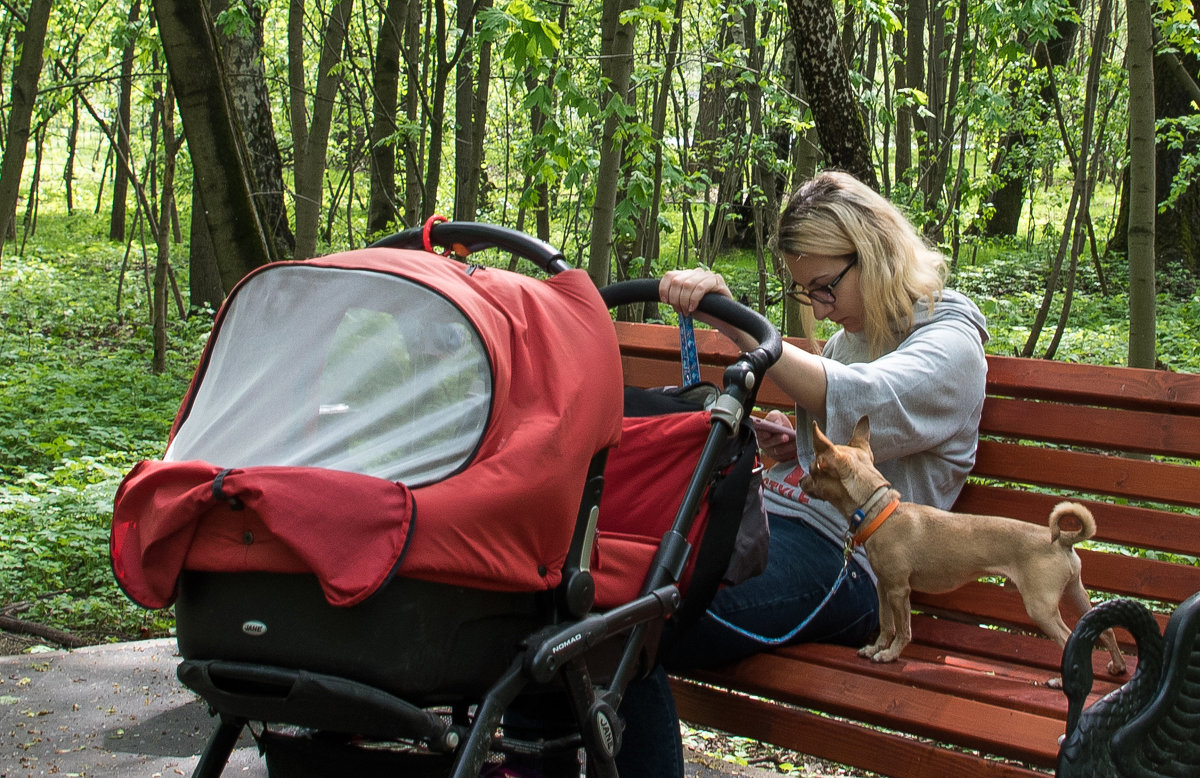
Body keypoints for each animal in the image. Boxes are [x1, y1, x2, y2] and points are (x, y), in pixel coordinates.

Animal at [796, 415, 1123, 677]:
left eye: (813, 468)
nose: (800, 481)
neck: (881, 512)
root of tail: (1062, 540)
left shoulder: (899, 591)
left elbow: (903, 630)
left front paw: (890, 655)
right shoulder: (883, 587)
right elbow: (886, 624)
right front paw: (875, 648)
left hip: (1040, 607)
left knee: (1068, 640)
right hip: (1075, 595)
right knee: (1106, 633)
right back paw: (1117, 666)